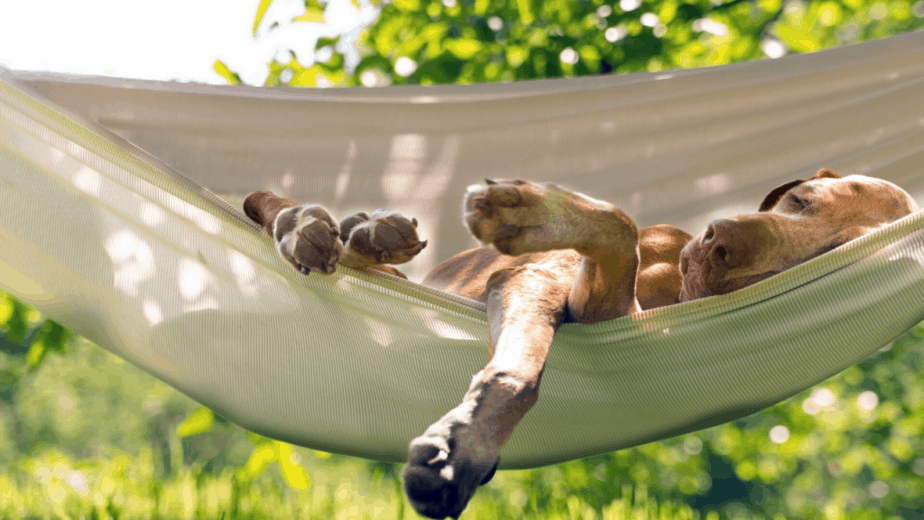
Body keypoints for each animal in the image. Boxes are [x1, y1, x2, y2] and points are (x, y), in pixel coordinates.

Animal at [244, 169, 916, 516]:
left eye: (829, 252)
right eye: (798, 201)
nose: (719, 237)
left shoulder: (602, 307)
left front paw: (464, 444)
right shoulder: (542, 276)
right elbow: (618, 225)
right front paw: (534, 208)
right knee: (273, 206)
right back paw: (324, 226)